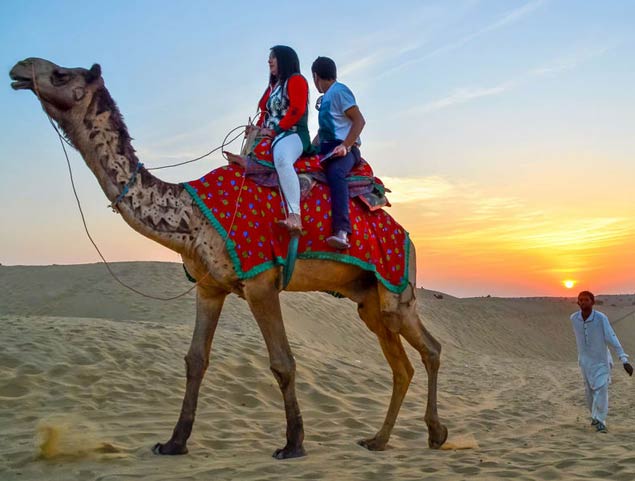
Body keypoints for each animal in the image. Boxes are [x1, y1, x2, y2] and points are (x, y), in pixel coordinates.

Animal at [8, 57, 448, 458]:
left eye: (61, 74)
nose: (19, 67)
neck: (191, 215)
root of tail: (406, 236)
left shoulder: (260, 281)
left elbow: (282, 362)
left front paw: (293, 444)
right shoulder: (209, 286)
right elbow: (195, 360)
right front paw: (174, 442)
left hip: (396, 287)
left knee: (429, 349)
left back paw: (435, 433)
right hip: (367, 298)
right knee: (402, 365)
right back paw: (379, 440)